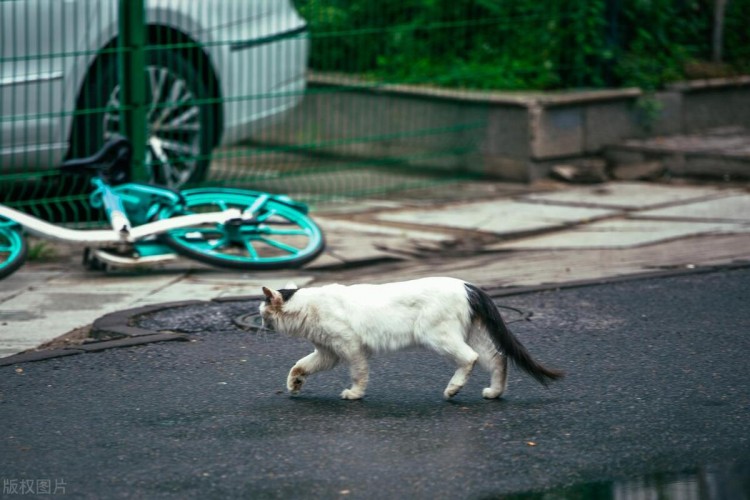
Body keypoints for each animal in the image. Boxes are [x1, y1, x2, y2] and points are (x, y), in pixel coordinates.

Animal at [258, 276, 564, 400]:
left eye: (262, 312)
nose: (260, 322)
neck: (308, 306)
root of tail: (468, 285)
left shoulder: (351, 347)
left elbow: (359, 374)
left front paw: (355, 394)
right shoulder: (327, 353)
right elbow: (299, 365)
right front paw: (294, 385)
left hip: (438, 336)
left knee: (471, 359)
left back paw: (453, 389)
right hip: (471, 335)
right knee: (498, 359)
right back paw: (494, 393)